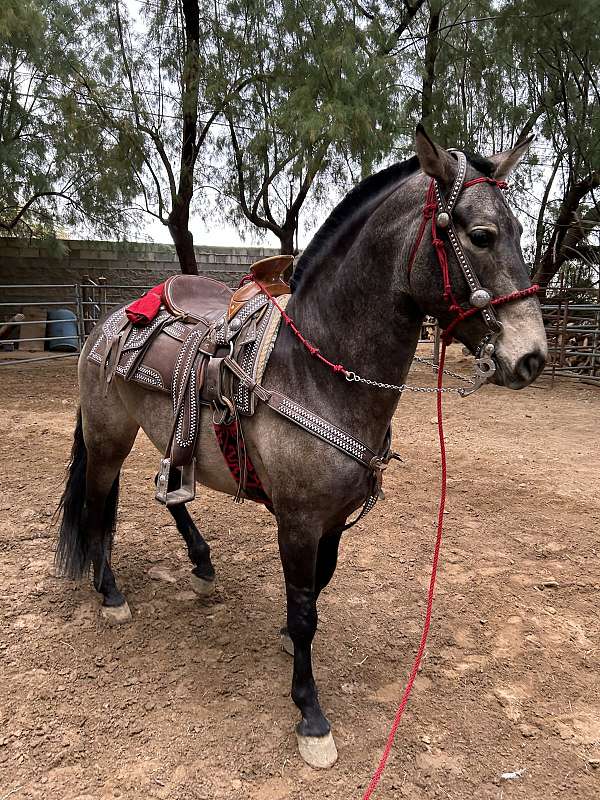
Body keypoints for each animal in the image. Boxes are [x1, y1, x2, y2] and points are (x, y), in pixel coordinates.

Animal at [56, 128, 548, 772]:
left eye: (520, 230)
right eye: (482, 234)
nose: (532, 357)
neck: (315, 373)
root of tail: (108, 319)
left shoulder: (333, 521)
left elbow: (318, 587)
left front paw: (290, 644)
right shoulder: (297, 520)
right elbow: (306, 605)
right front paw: (310, 716)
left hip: (166, 438)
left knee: (166, 492)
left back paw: (201, 563)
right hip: (108, 437)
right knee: (99, 505)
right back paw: (110, 591)